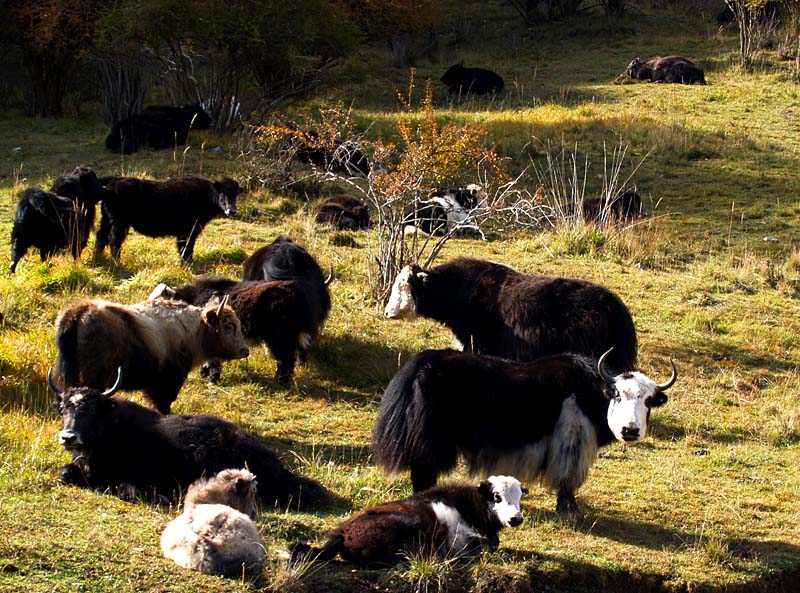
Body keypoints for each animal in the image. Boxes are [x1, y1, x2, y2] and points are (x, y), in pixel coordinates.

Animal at [50, 372, 332, 512]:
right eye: (63, 409)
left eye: (91, 410)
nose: (68, 437)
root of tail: (278, 466)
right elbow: (65, 474)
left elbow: (126, 489)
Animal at [292, 474, 524, 568]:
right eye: (496, 496)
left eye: (520, 496)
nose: (516, 519)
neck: (468, 505)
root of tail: (341, 534)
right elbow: (489, 545)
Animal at [372, 350, 672, 512]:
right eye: (618, 395)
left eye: (648, 400)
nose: (630, 430)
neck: (590, 388)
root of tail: (420, 363)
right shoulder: (572, 438)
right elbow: (567, 478)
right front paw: (569, 509)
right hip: (432, 439)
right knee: (423, 470)